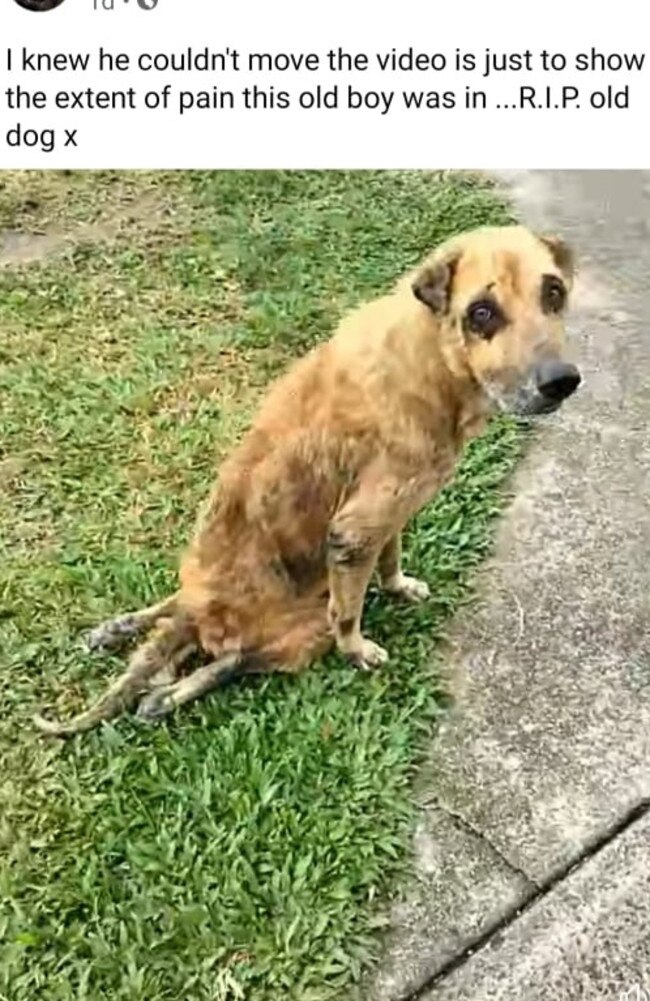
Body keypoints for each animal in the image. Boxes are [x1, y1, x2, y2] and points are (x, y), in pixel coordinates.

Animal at [33, 227, 580, 740]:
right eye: (481, 313)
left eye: (554, 292)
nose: (562, 381)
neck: (432, 355)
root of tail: (199, 614)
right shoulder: (355, 532)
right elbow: (350, 613)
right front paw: (359, 649)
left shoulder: (388, 519)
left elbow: (391, 559)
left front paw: (399, 586)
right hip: (308, 619)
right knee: (234, 659)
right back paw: (161, 693)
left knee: (190, 628)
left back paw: (129, 645)